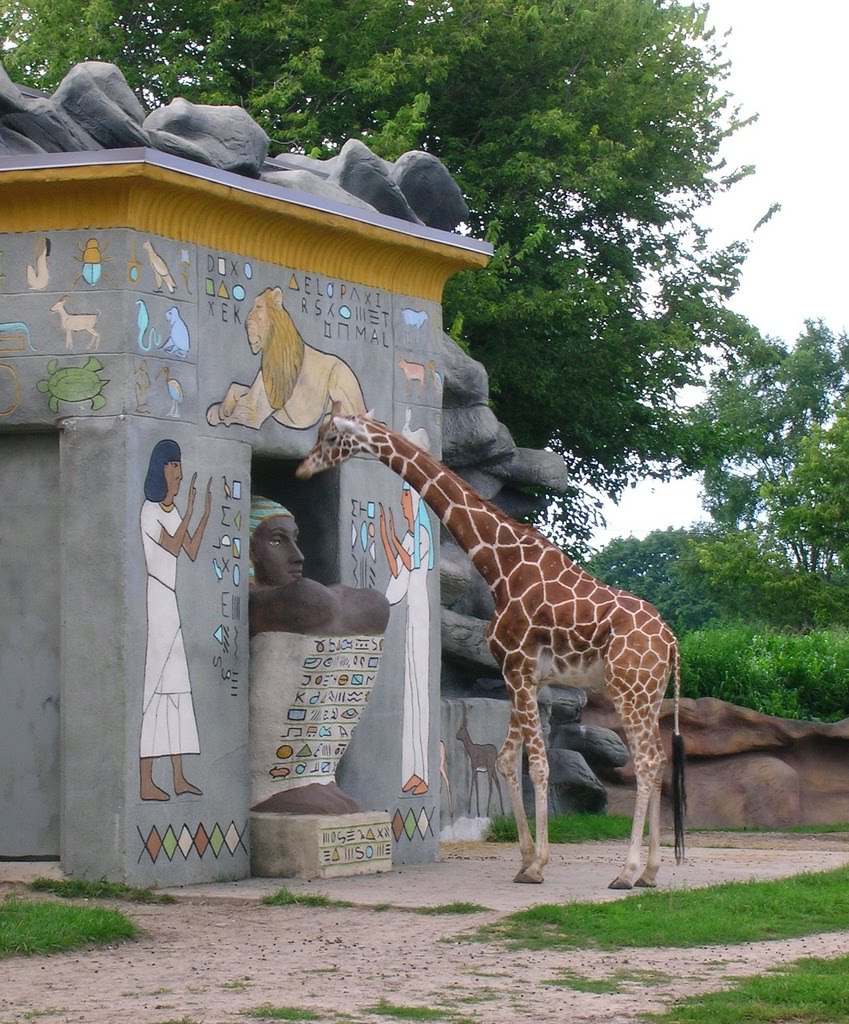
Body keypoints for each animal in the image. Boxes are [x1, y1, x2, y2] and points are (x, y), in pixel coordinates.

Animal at [296, 405, 686, 888]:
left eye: (332, 437)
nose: (302, 468)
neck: (500, 564)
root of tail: (671, 642)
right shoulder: (521, 675)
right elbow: (505, 761)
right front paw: (525, 860)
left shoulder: (518, 667)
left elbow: (537, 764)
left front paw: (538, 865)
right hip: (647, 694)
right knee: (656, 760)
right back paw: (649, 871)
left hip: (629, 691)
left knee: (647, 762)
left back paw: (627, 872)